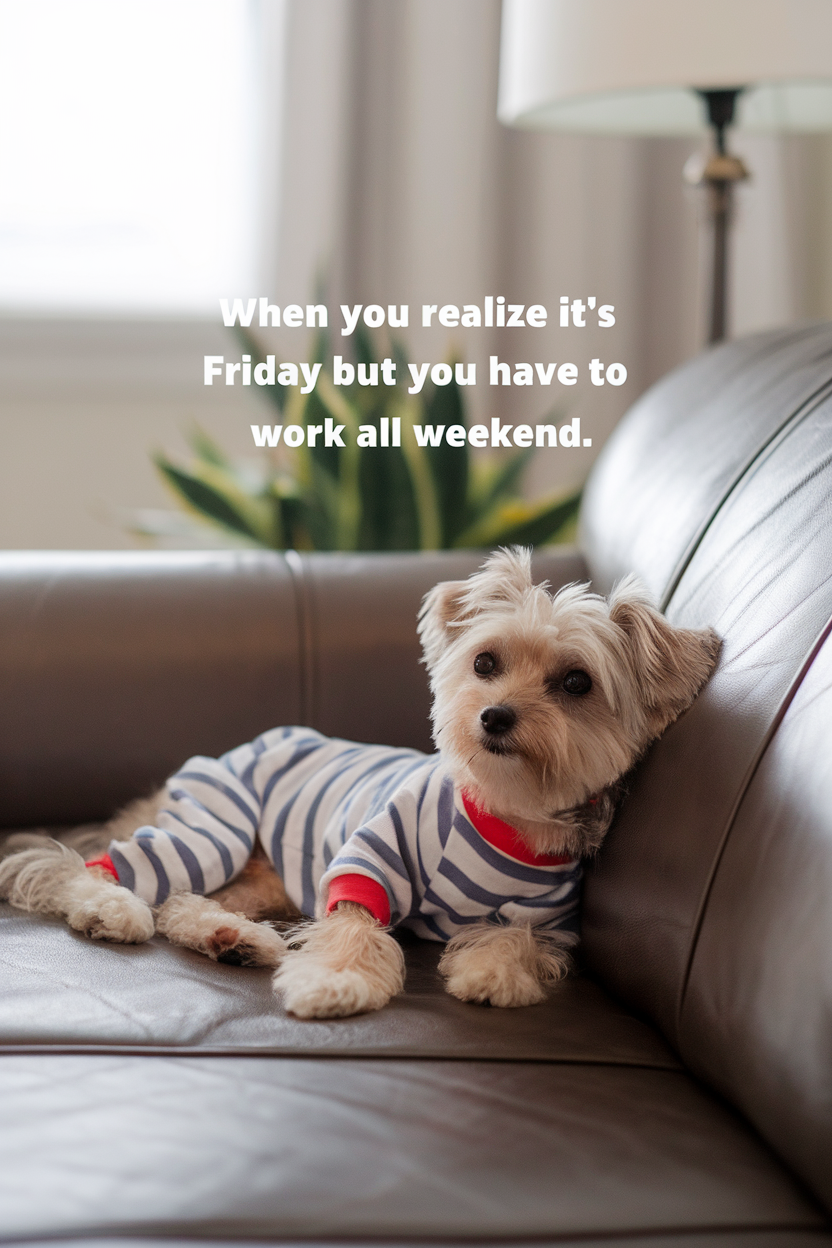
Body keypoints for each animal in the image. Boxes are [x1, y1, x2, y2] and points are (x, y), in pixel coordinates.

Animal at [0, 551, 718, 1018]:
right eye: (486, 662)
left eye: (576, 682)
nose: (493, 716)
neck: (503, 811)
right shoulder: (367, 859)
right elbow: (351, 926)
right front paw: (334, 983)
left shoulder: (548, 916)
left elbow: (518, 938)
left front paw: (493, 969)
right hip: (214, 829)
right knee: (102, 868)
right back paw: (111, 907)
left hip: (263, 877)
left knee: (185, 904)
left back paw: (234, 941)